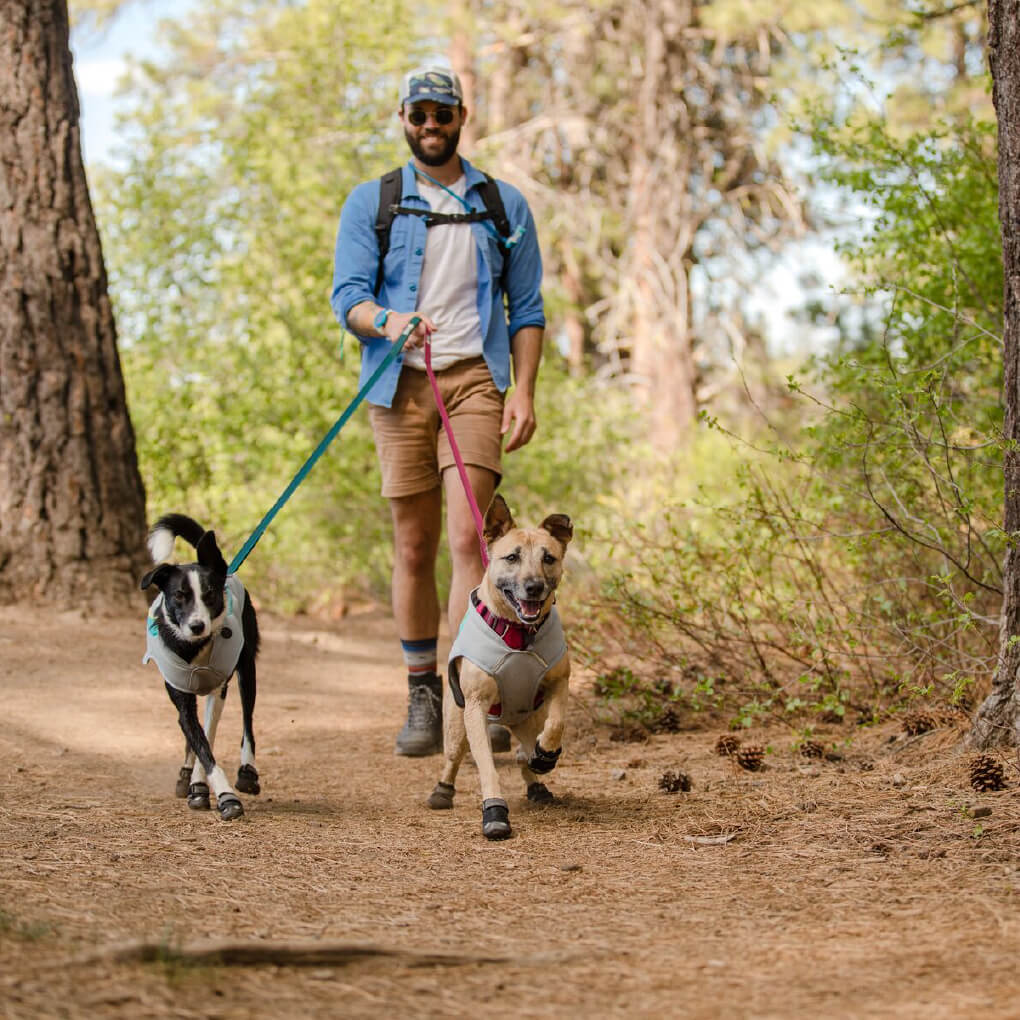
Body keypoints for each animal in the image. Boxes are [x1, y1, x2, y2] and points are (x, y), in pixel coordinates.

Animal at [139, 518, 259, 820]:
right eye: (179, 595)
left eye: (210, 594)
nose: (197, 625)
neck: (192, 647)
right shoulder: (181, 697)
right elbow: (199, 742)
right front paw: (204, 787)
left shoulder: (218, 691)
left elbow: (209, 737)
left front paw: (222, 794)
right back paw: (188, 776)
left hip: (247, 672)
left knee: (247, 723)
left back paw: (247, 772)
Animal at [424, 493, 575, 836]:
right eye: (512, 557)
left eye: (549, 558)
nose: (534, 587)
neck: (518, 634)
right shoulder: (476, 708)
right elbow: (486, 765)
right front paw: (494, 811)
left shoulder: (559, 682)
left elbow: (557, 722)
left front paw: (547, 752)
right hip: (456, 725)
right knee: (453, 757)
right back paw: (441, 790)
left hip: (528, 719)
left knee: (527, 751)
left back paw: (537, 780)